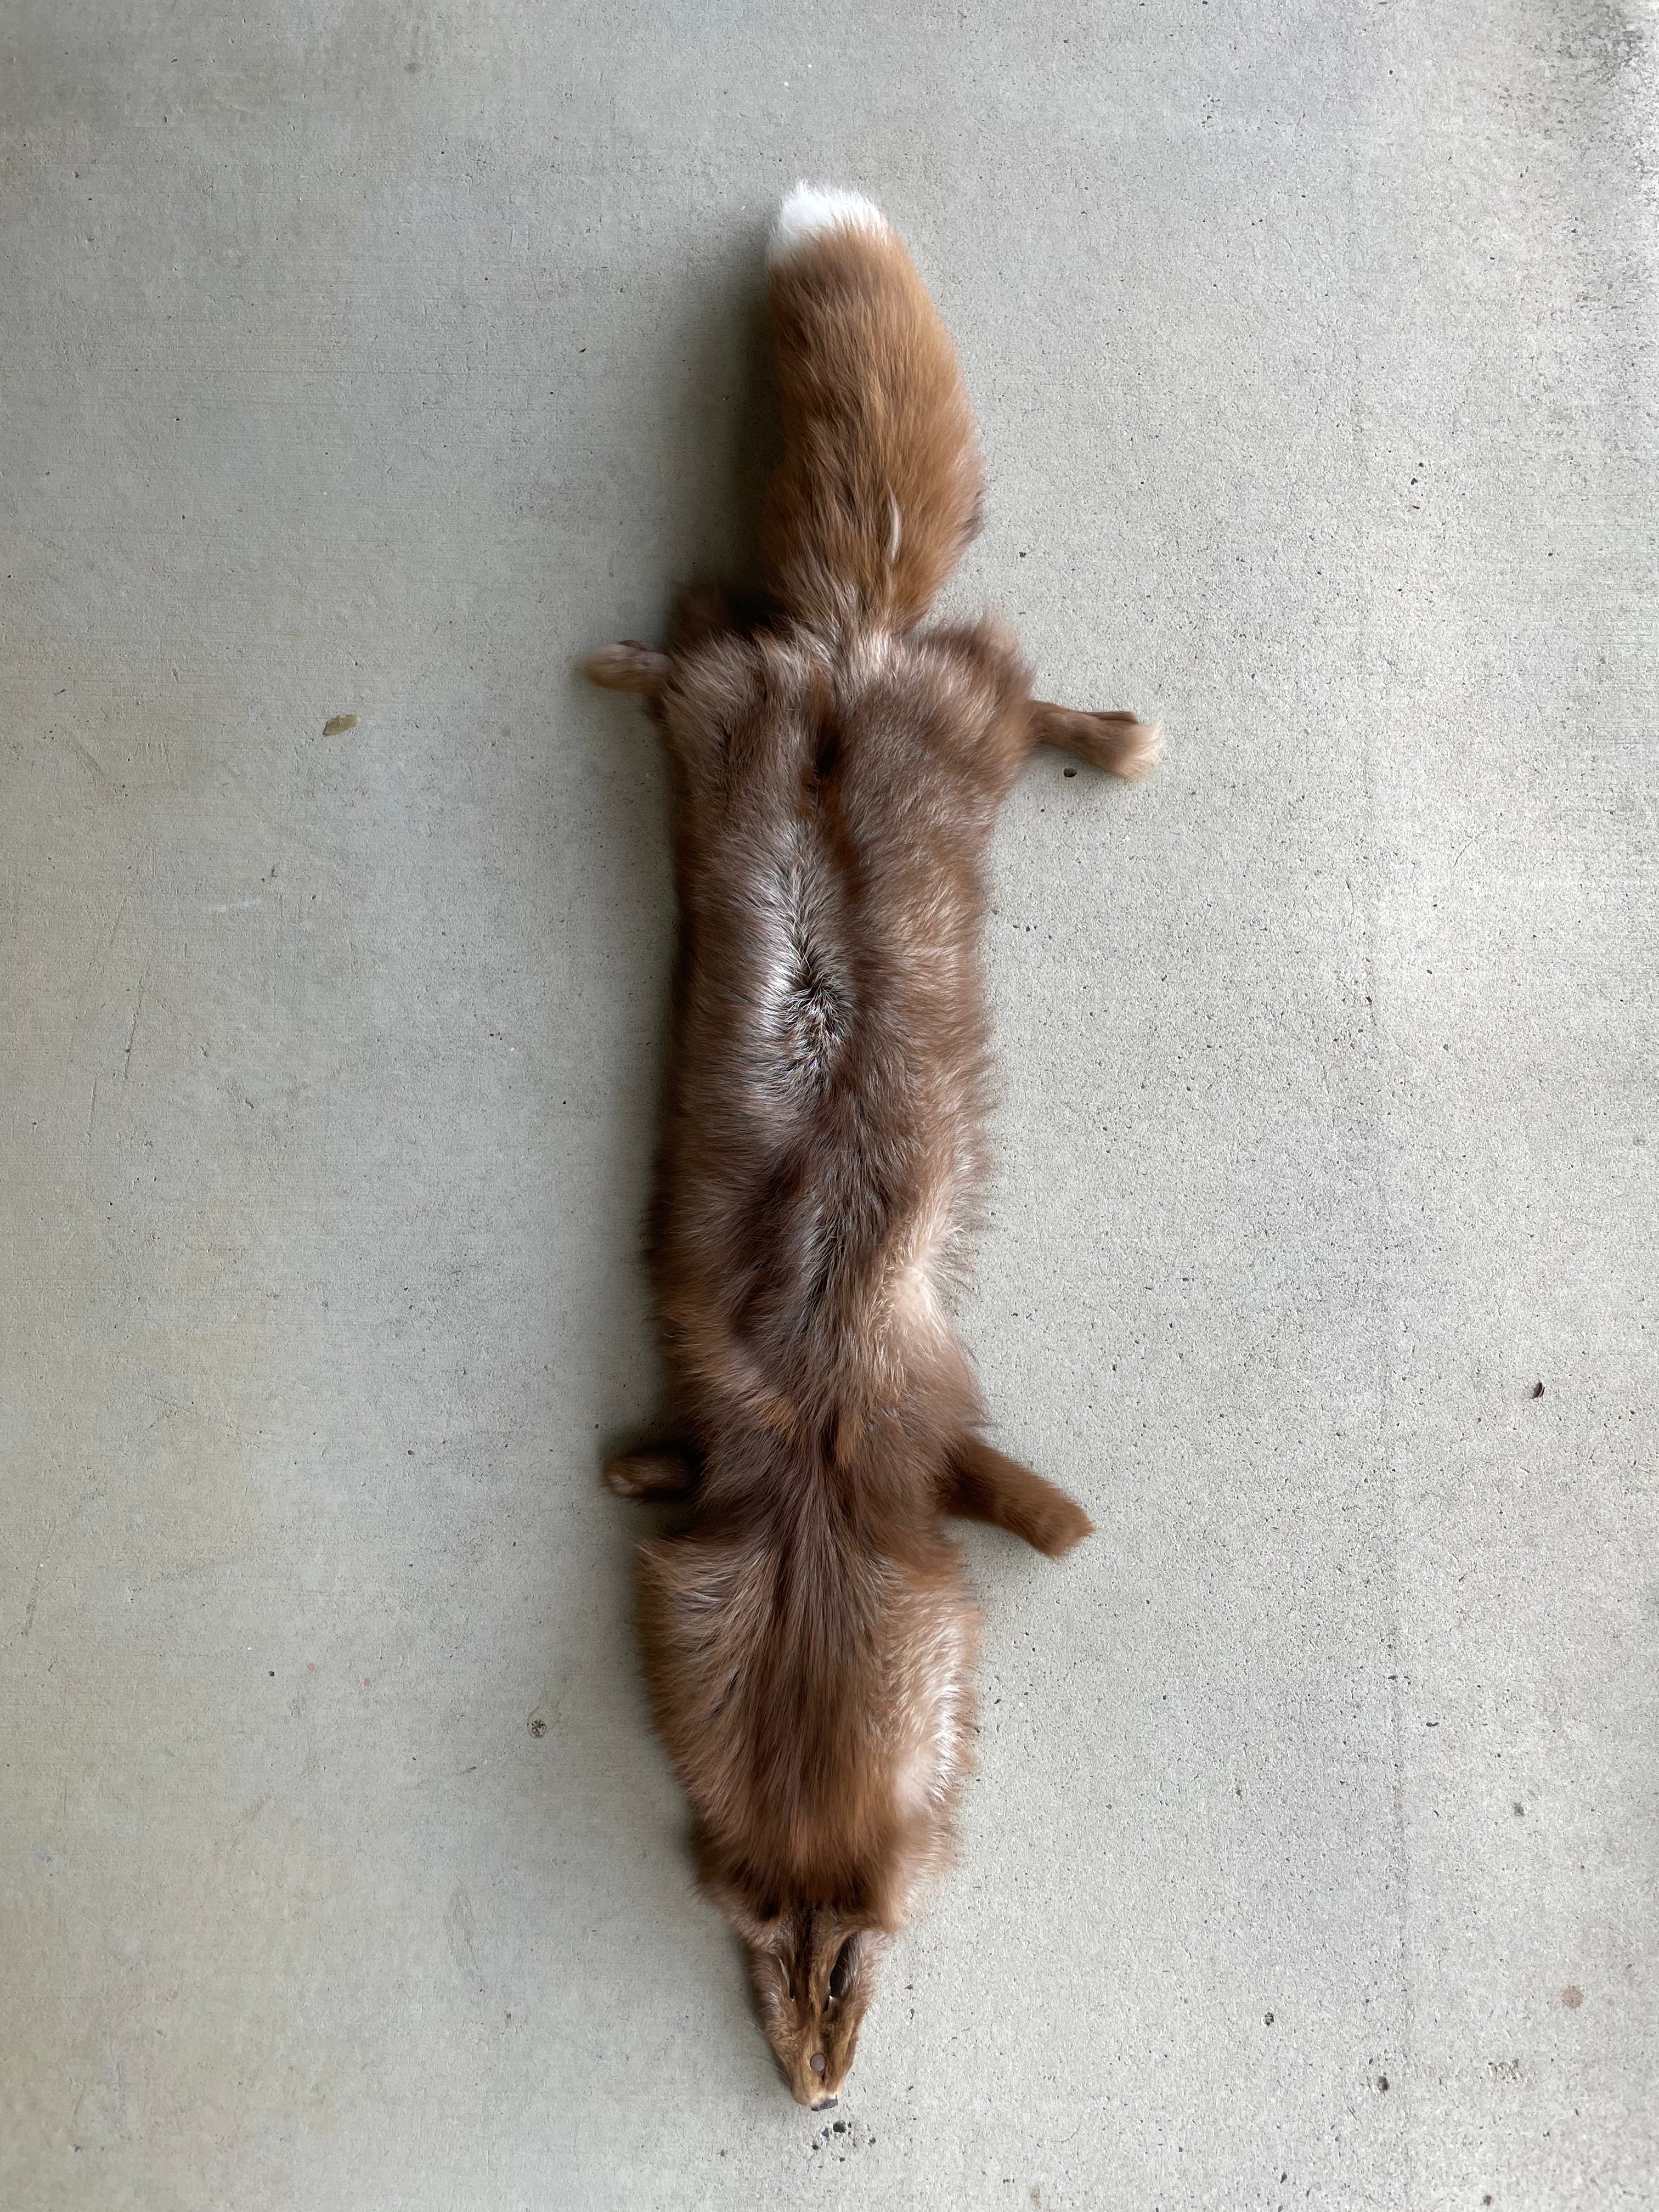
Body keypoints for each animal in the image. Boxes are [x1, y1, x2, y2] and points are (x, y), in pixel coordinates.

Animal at [585, 183, 1161, 2109]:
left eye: (845, 1967)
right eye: (783, 1965)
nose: (817, 2096)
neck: (817, 1505)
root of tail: (842, 660)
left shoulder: (927, 1453)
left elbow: (1039, 1513)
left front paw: (1064, 1535)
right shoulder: (752, 1449)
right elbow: (635, 1466)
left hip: (926, 726)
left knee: (1016, 681)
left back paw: (1120, 738)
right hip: (748, 715)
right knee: (712, 644)